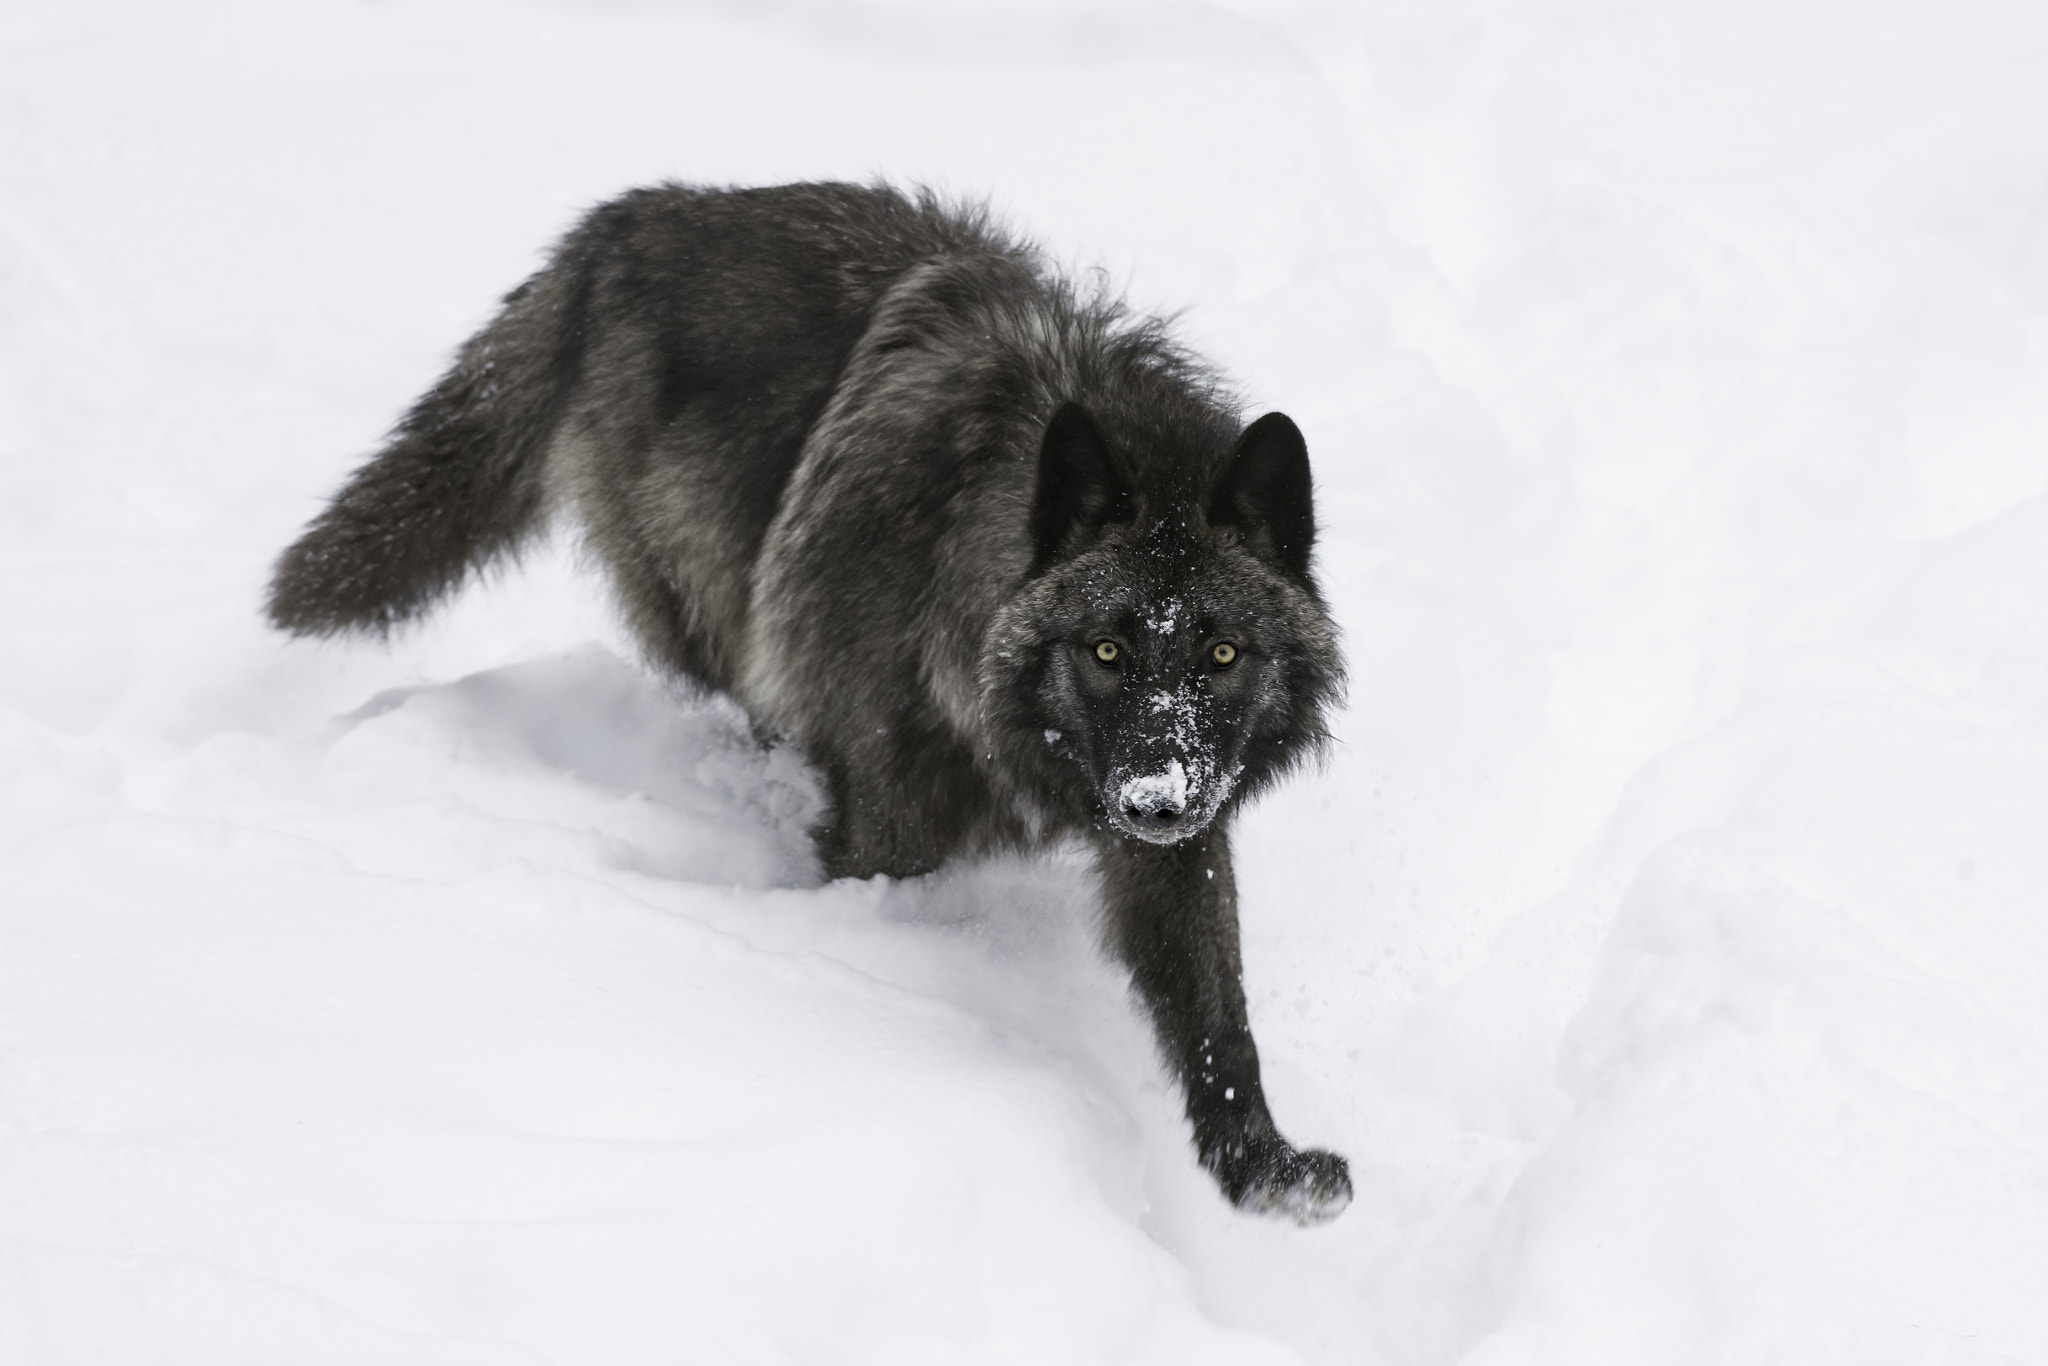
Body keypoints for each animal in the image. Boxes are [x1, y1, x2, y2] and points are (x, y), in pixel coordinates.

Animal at [268, 182, 1350, 1223]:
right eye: (1107, 650)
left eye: (1221, 653)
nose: (1154, 801)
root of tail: (628, 217)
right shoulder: (887, 839)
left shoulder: (1175, 842)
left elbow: (1216, 1013)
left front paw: (1258, 1165)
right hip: (713, 617)